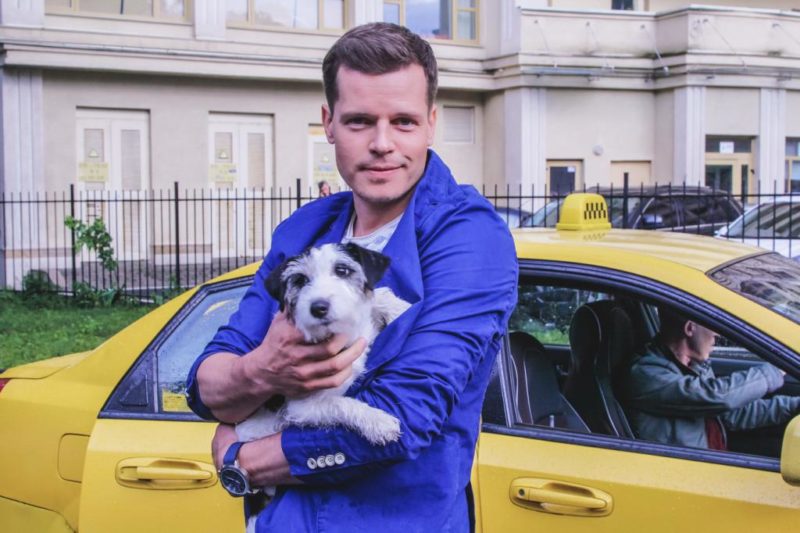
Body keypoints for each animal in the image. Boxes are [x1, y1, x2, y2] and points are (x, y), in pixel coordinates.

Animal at [235, 242, 411, 448]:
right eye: (300, 280)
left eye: (342, 270)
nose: (318, 308)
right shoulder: (301, 407)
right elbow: (339, 403)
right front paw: (378, 421)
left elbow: (377, 296)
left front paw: (400, 307)